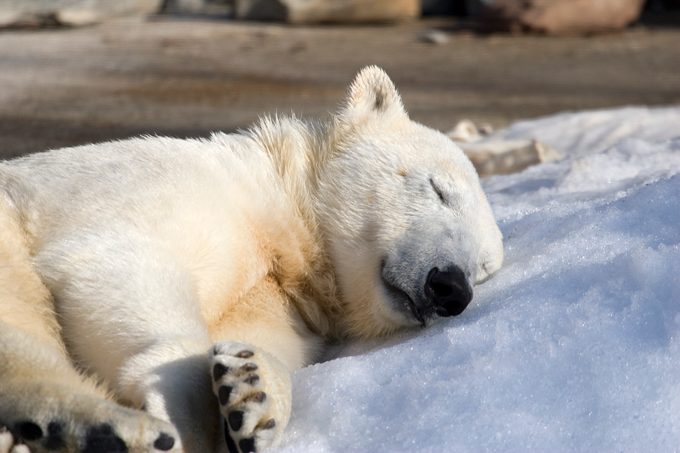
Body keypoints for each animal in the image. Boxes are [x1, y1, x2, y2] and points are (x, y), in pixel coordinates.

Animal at [0, 67, 500, 452]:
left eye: (483, 268)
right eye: (438, 189)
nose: (451, 287)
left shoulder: (284, 304)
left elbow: (258, 339)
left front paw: (250, 392)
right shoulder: (149, 184)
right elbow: (118, 259)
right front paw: (181, 417)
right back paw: (109, 428)